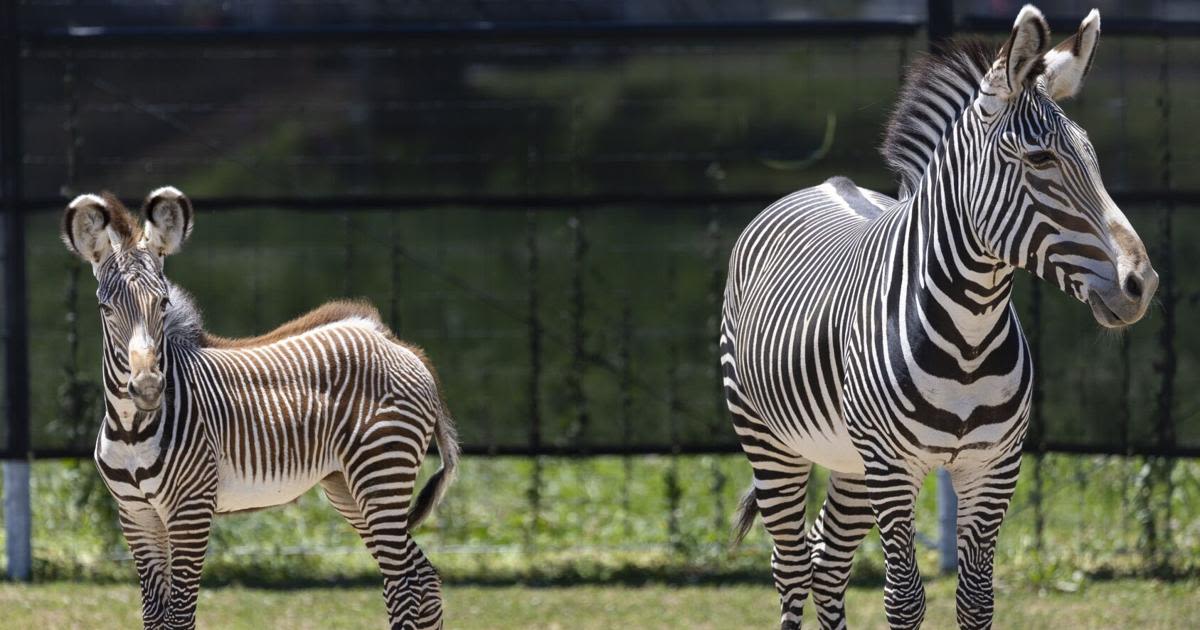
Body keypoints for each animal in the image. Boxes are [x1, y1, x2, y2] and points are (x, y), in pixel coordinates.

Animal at [59, 188, 458, 628]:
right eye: (105, 309)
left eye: (162, 303)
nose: (147, 388)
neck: (132, 430)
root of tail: (395, 342)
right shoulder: (136, 516)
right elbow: (154, 616)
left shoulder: (190, 510)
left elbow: (179, 617)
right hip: (348, 486)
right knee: (424, 577)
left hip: (381, 473)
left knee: (403, 583)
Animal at [724, 6, 1156, 628]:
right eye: (1041, 160)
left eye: (1094, 160)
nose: (1140, 285)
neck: (969, 335)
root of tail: (824, 184)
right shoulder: (892, 467)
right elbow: (904, 599)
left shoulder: (993, 469)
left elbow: (976, 598)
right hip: (768, 439)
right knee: (791, 567)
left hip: (848, 461)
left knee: (827, 565)